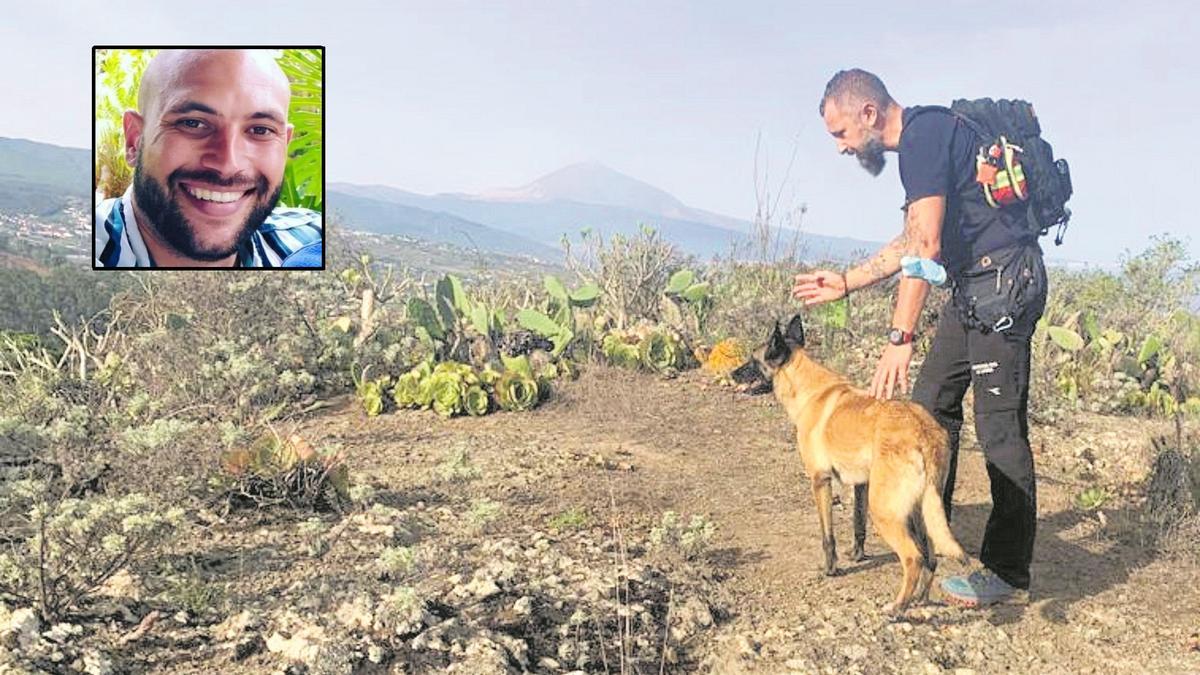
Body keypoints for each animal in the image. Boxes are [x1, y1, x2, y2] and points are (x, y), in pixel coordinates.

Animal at [734, 312, 969, 612]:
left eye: (753, 360)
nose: (731, 374)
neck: (809, 388)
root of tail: (923, 433)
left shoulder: (820, 481)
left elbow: (828, 536)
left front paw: (831, 569)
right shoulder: (862, 485)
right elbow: (858, 524)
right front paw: (857, 555)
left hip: (885, 512)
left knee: (913, 557)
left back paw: (898, 607)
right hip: (921, 510)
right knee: (930, 556)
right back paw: (918, 599)